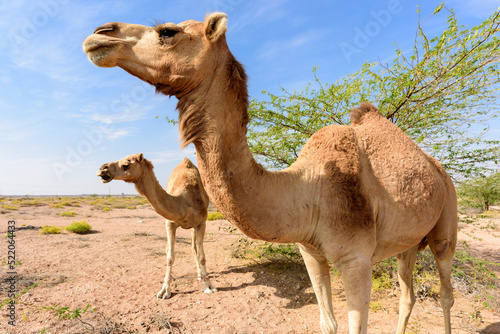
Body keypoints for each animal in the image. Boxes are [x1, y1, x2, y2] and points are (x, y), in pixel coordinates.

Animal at [96, 153, 216, 298]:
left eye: (126, 164)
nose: (102, 169)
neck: (184, 202)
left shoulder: (201, 223)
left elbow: (202, 257)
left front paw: (208, 286)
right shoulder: (169, 223)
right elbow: (170, 257)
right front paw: (165, 290)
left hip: (194, 226)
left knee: (194, 248)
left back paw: (199, 275)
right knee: (172, 249)